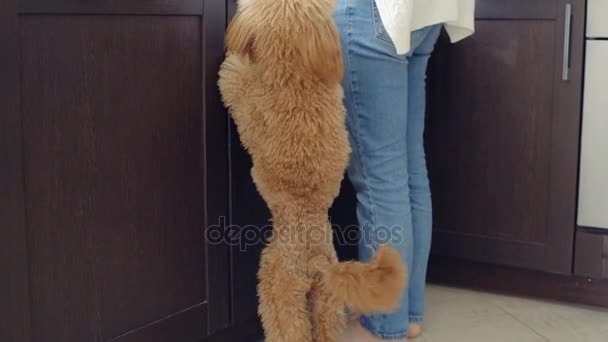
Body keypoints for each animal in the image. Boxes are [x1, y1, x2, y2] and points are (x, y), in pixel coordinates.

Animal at [218, 1, 408, 340]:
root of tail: (318, 263)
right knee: (326, 329)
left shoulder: (248, 101)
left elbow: (235, 81)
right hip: (327, 302)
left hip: (278, 289)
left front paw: (232, 62)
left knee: (289, 327)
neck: (296, 71)